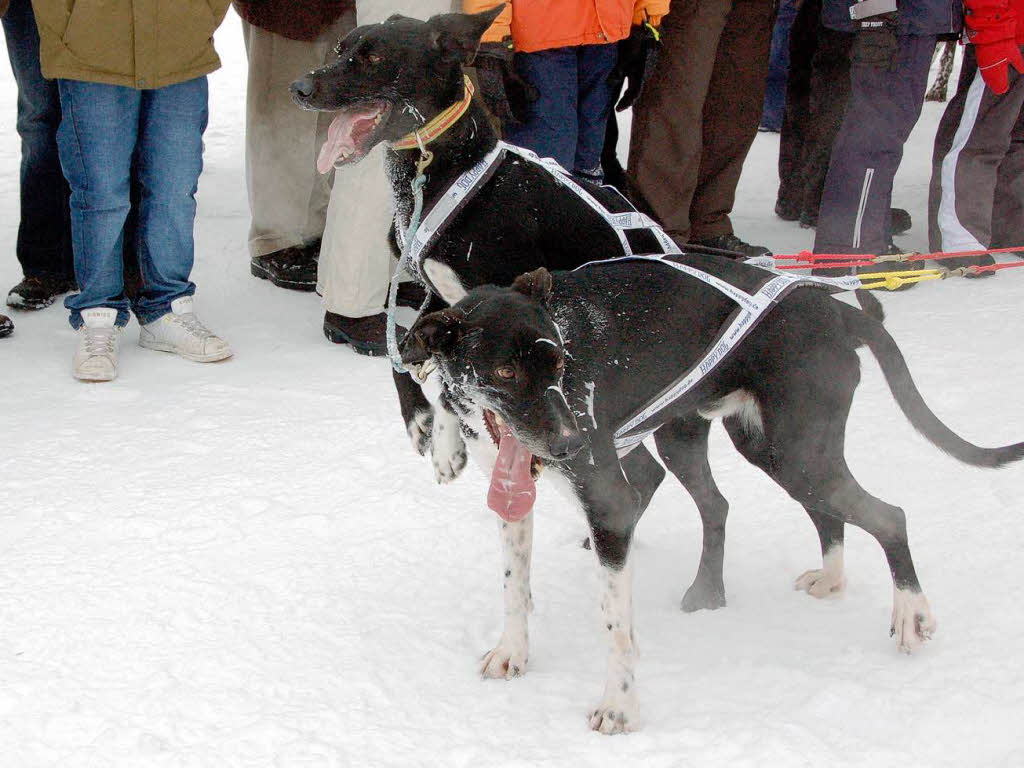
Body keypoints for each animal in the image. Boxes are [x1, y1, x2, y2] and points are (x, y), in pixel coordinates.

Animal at [399, 264, 1024, 733]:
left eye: (559, 363)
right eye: (505, 371)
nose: (572, 442)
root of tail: (836, 310)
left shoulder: (608, 505)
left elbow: (616, 626)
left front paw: (620, 706)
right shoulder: (516, 499)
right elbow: (514, 586)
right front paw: (513, 652)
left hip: (796, 453)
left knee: (889, 515)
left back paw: (910, 612)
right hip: (761, 449)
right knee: (774, 509)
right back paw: (818, 577)